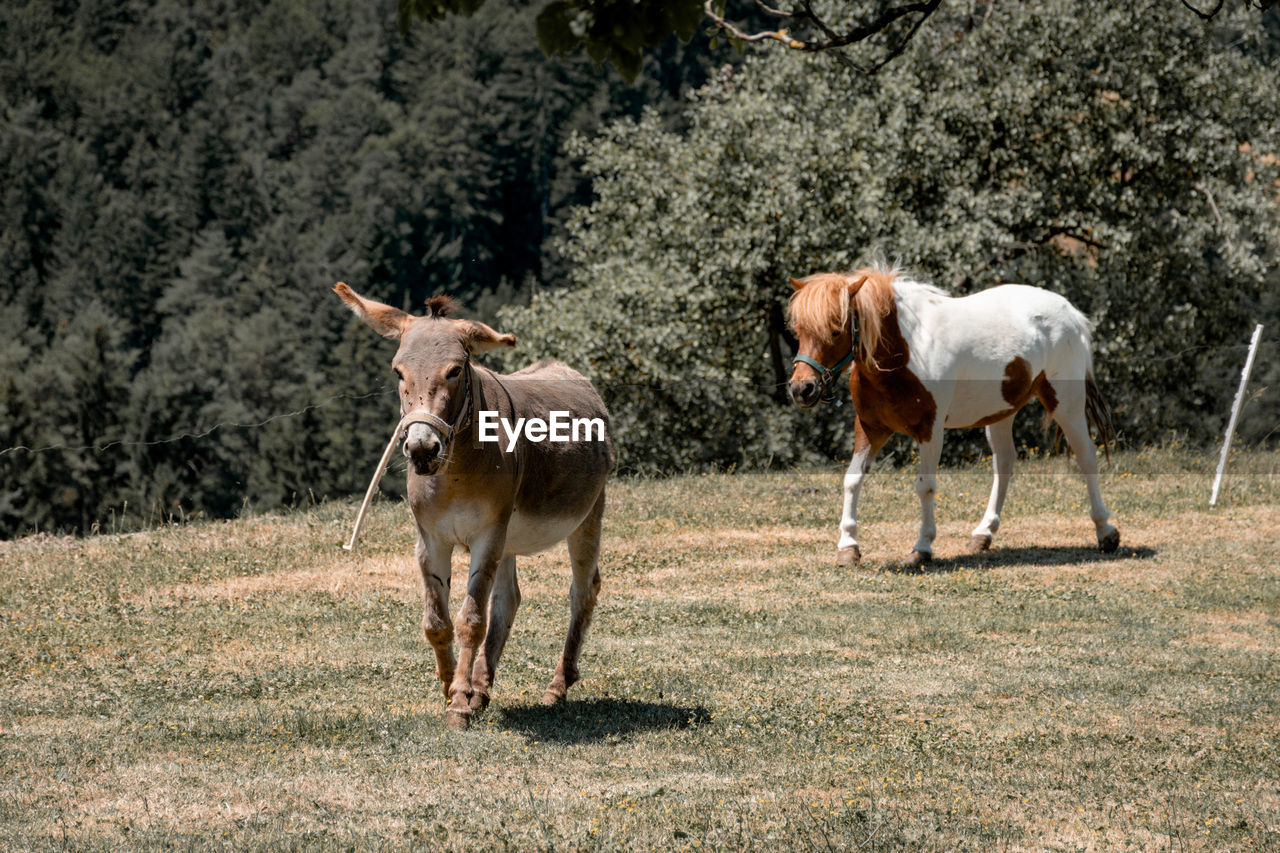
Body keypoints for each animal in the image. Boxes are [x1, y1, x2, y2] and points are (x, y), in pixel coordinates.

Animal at [335, 281, 614, 727]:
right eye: (397, 372)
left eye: (454, 371)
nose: (422, 450)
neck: (454, 471)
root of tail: (568, 371)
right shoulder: (430, 540)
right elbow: (437, 622)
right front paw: (454, 689)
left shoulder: (486, 535)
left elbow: (471, 620)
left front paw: (460, 705)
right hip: (510, 537)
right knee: (509, 599)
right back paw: (482, 687)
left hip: (586, 517)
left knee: (583, 591)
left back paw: (556, 686)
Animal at [788, 258, 1121, 563]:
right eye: (798, 330)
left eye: (835, 331)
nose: (801, 389)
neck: (902, 353)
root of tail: (1070, 312)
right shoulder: (871, 428)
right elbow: (852, 479)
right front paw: (848, 546)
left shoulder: (929, 430)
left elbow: (925, 486)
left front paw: (922, 548)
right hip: (1001, 412)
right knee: (1005, 462)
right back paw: (983, 533)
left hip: (1066, 404)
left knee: (1086, 456)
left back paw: (1105, 532)